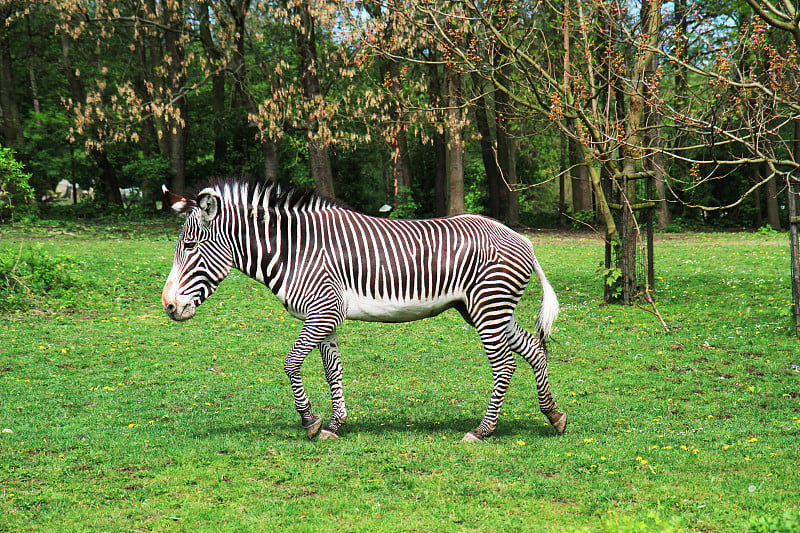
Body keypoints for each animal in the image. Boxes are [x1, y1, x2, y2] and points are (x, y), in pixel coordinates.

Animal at [159, 179, 564, 440]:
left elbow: (291, 363)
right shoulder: (324, 316)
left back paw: (484, 430)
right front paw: (335, 425)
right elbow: (332, 371)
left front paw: (310, 421)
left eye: (191, 246)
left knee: (505, 363)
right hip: (484, 308)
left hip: (488, 306)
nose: (168, 306)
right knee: (532, 348)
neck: (293, 250)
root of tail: (519, 237)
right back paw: (554, 416)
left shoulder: (324, 310)